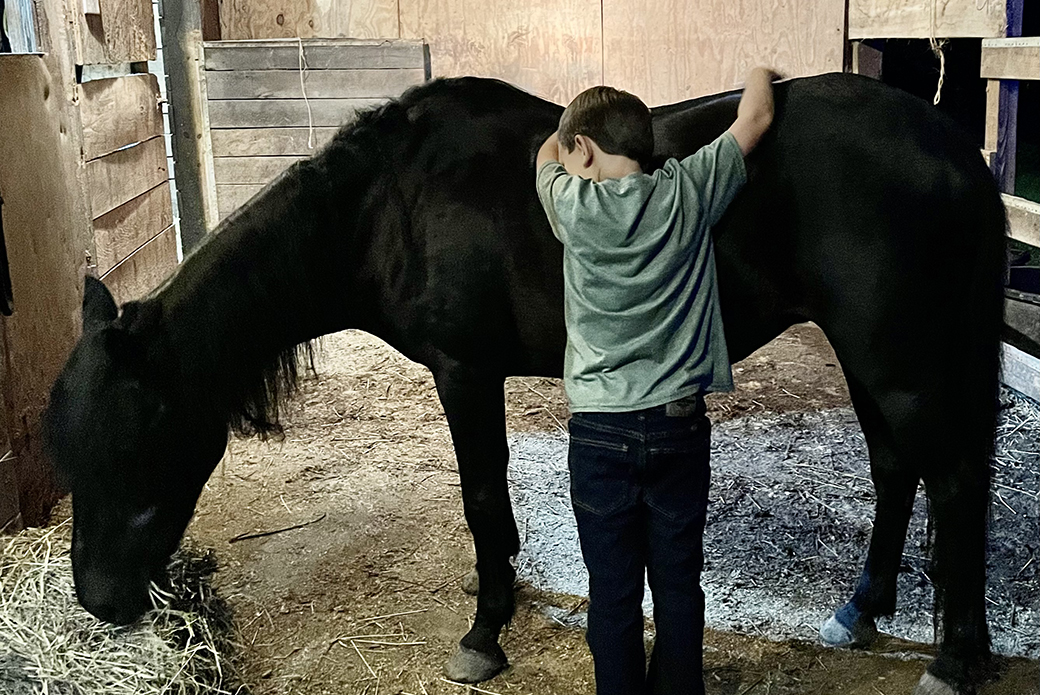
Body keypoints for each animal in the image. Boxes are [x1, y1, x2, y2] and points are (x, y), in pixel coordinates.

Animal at [44, 71, 1002, 695]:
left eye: (136, 438)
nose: (99, 599)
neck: (386, 207)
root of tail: (954, 147)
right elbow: (492, 505)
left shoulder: (464, 371)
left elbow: (479, 493)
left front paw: (484, 632)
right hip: (870, 356)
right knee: (896, 468)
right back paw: (864, 608)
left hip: (899, 359)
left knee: (953, 481)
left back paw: (954, 658)